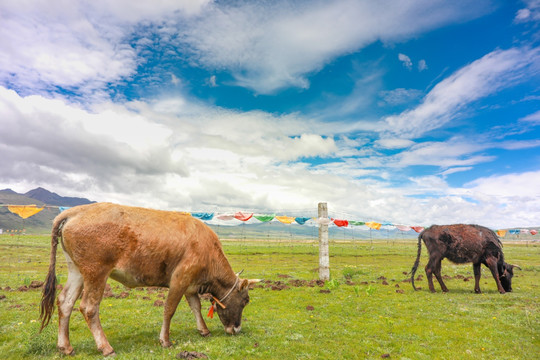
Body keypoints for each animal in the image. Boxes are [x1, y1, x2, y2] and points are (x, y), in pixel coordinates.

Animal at [39, 202, 258, 358]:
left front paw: (203, 330)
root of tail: (75, 211)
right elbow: (169, 309)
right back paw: (106, 347)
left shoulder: (191, 285)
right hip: (96, 272)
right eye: (246, 300)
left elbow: (196, 306)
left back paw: (65, 347)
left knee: (65, 302)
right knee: (88, 307)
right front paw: (165, 340)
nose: (236, 328)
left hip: (76, 270)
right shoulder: (180, 278)